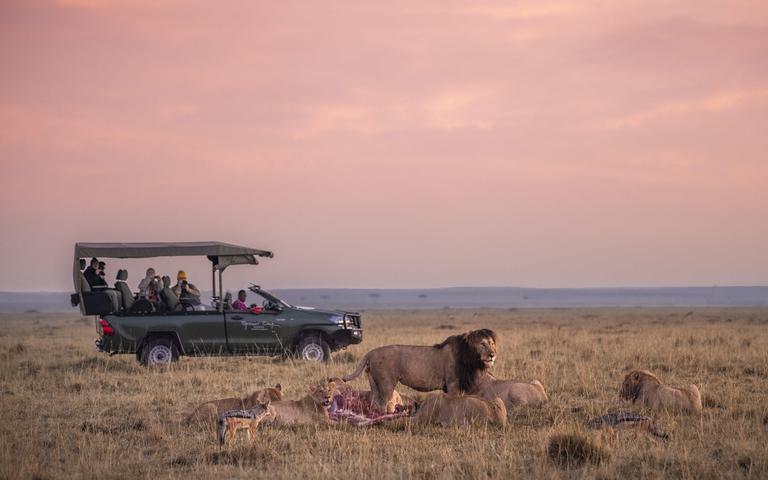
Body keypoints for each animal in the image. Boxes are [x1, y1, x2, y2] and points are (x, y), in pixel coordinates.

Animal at [342, 329, 498, 412]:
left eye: (491, 343)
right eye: (482, 344)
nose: (492, 354)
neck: (470, 358)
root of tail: (371, 352)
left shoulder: (458, 386)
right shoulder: (453, 384)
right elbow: (454, 402)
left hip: (374, 383)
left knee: (374, 402)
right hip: (386, 384)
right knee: (382, 404)